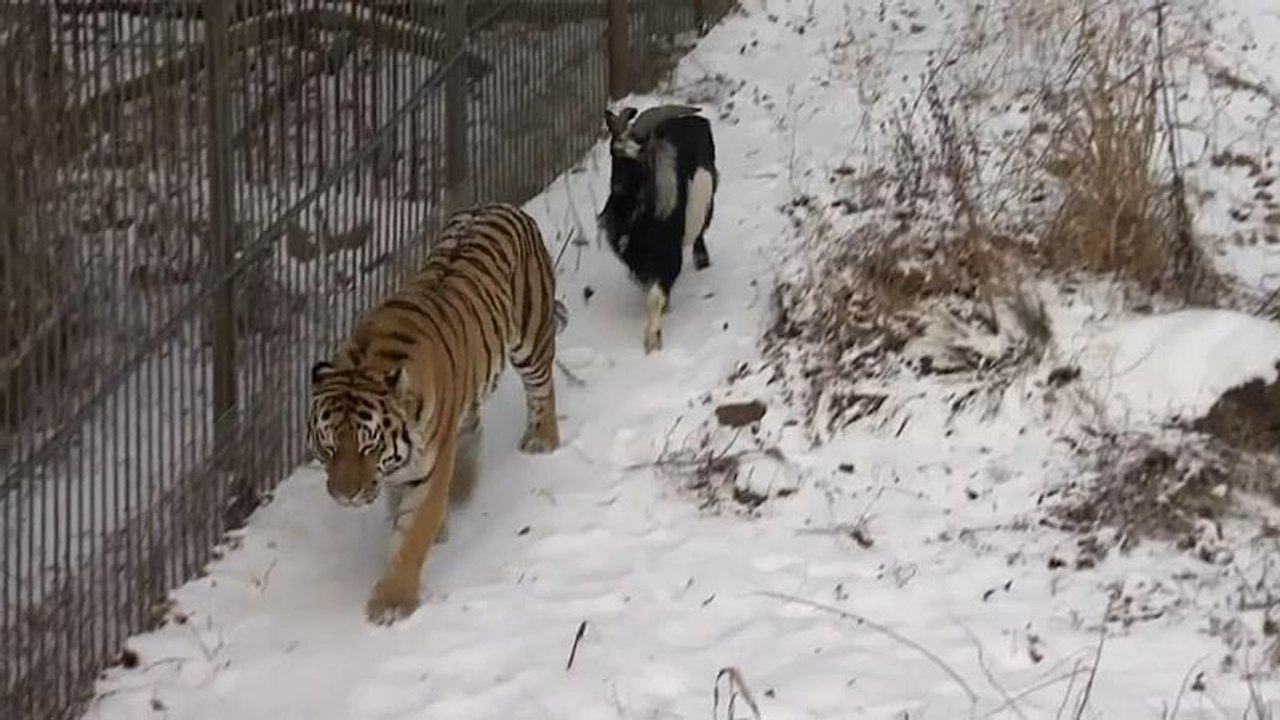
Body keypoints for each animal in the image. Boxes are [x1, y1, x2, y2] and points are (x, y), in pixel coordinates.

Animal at [306, 201, 563, 625]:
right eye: (328, 447)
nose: (345, 495)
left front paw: (392, 601)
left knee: (542, 388)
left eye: (367, 447)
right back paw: (462, 488)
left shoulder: (427, 471)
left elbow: (412, 535)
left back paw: (542, 439)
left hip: (532, 338)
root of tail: (501, 206)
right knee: (472, 427)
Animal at [598, 104, 719, 354]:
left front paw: (653, 341)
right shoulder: (637, 259)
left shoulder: (668, 255)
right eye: (613, 152)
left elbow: (655, 296)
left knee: (700, 233)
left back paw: (702, 261)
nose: (618, 188)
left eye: (640, 157)